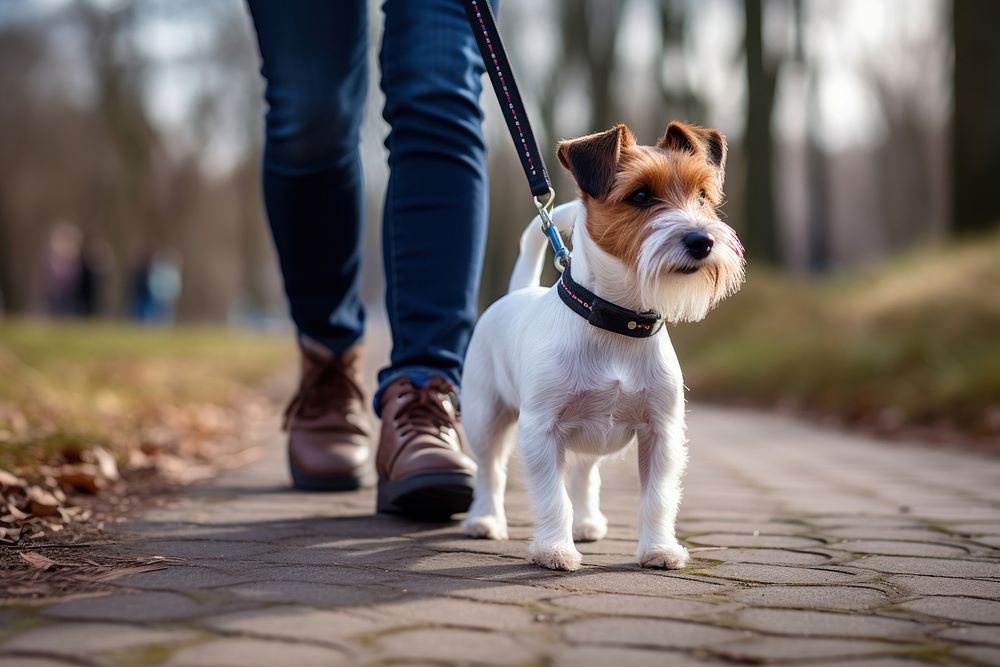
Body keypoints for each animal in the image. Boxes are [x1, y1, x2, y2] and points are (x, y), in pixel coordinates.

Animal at [458, 120, 744, 568]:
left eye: (702, 196)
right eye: (640, 195)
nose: (702, 241)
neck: (616, 322)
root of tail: (518, 291)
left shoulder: (661, 433)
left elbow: (657, 498)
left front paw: (659, 549)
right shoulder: (541, 431)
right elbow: (552, 497)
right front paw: (554, 550)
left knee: (584, 474)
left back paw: (587, 523)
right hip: (484, 415)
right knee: (490, 470)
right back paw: (486, 520)